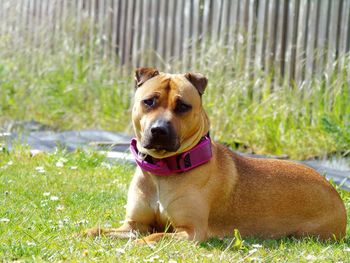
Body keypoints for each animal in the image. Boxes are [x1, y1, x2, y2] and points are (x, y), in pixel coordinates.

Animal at [85, 68, 348, 245]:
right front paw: (87, 232)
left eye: (183, 106)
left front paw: (140, 244)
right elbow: (100, 230)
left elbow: (157, 235)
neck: (163, 170)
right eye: (148, 101)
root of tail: (332, 188)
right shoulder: (134, 225)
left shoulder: (190, 231)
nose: (159, 130)